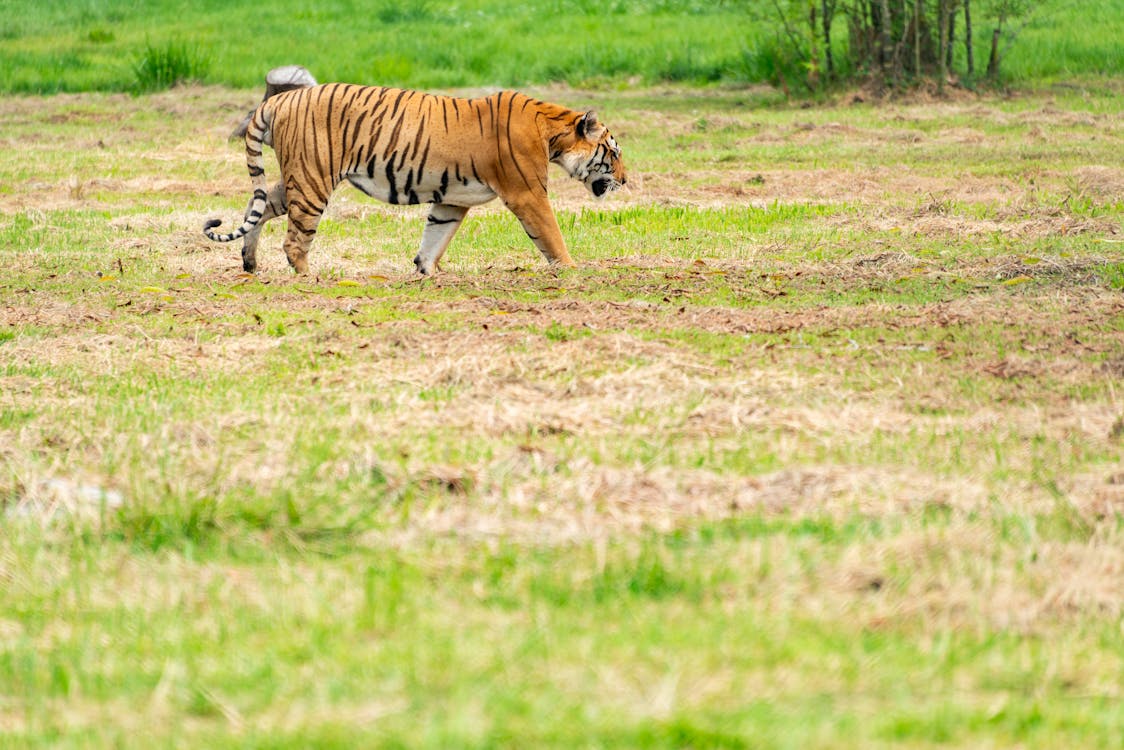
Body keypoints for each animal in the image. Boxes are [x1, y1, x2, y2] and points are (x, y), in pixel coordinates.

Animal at [200, 82, 624, 275]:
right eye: (614, 153)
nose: (625, 180)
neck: (553, 134)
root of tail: (278, 99)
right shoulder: (528, 194)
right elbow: (551, 235)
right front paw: (572, 270)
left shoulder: (452, 199)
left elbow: (435, 237)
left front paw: (426, 272)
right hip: (312, 179)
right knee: (294, 240)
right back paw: (309, 278)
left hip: (298, 178)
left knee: (259, 206)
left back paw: (250, 263)